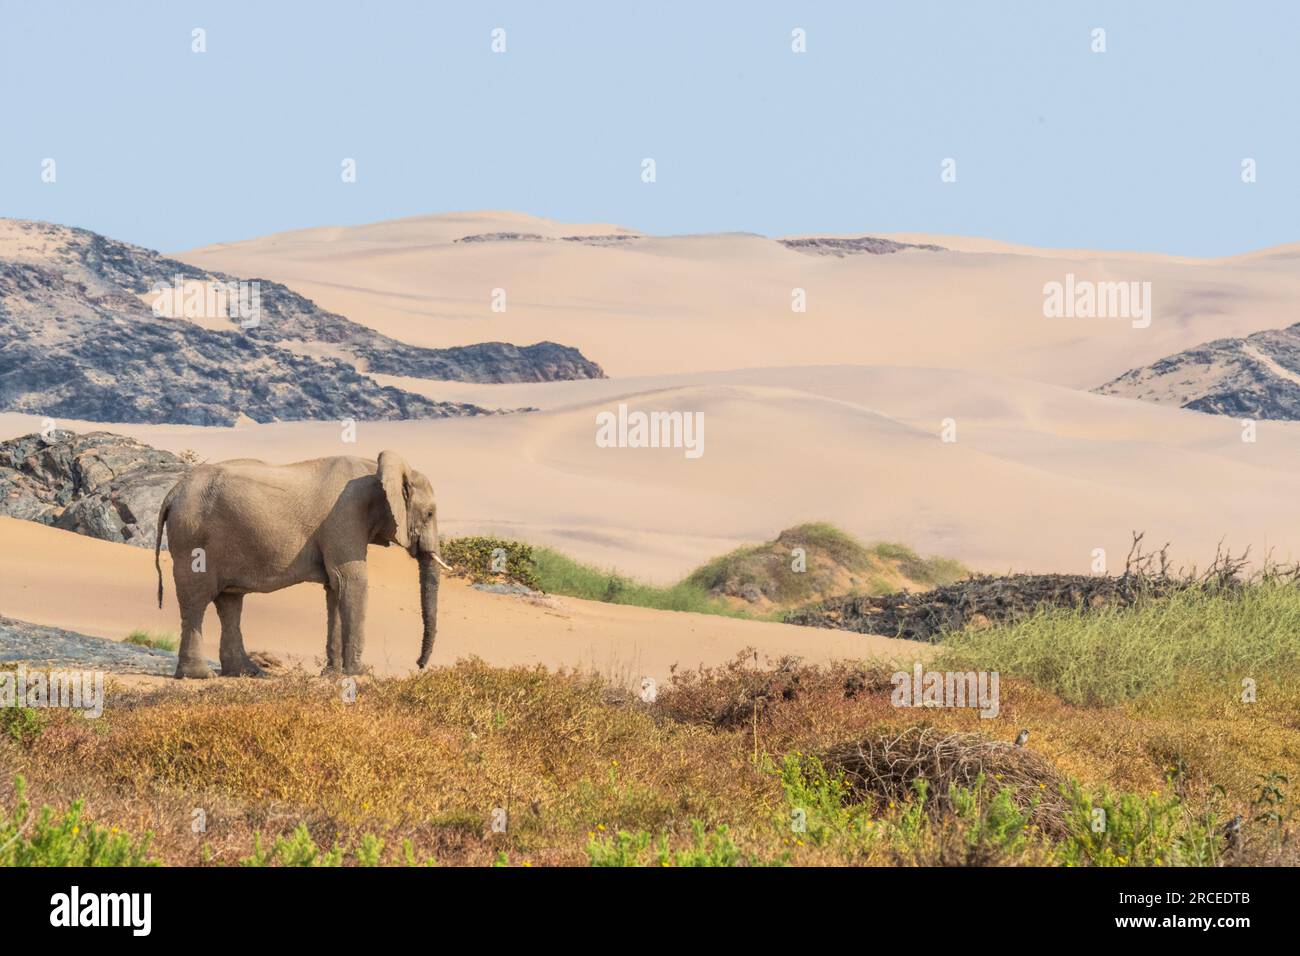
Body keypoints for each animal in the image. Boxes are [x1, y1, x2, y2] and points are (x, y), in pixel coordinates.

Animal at [148, 450, 447, 681]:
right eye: (429, 513)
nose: (419, 665)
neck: (376, 469)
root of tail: (172, 493)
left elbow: (335, 588)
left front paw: (332, 674)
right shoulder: (346, 516)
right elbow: (351, 581)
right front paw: (360, 673)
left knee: (230, 602)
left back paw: (248, 673)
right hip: (193, 539)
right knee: (197, 601)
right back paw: (200, 675)